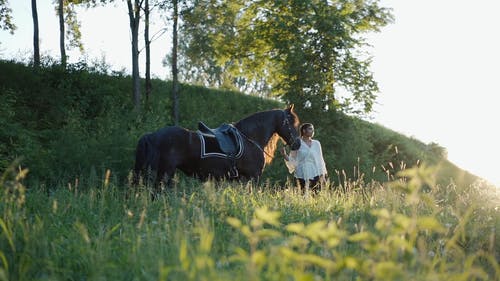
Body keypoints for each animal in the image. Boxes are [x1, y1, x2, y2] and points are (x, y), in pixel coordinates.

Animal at [133, 104, 300, 187]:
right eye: (292, 123)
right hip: (164, 172)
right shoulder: (253, 177)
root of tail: (152, 135)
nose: (297, 144)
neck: (249, 139)